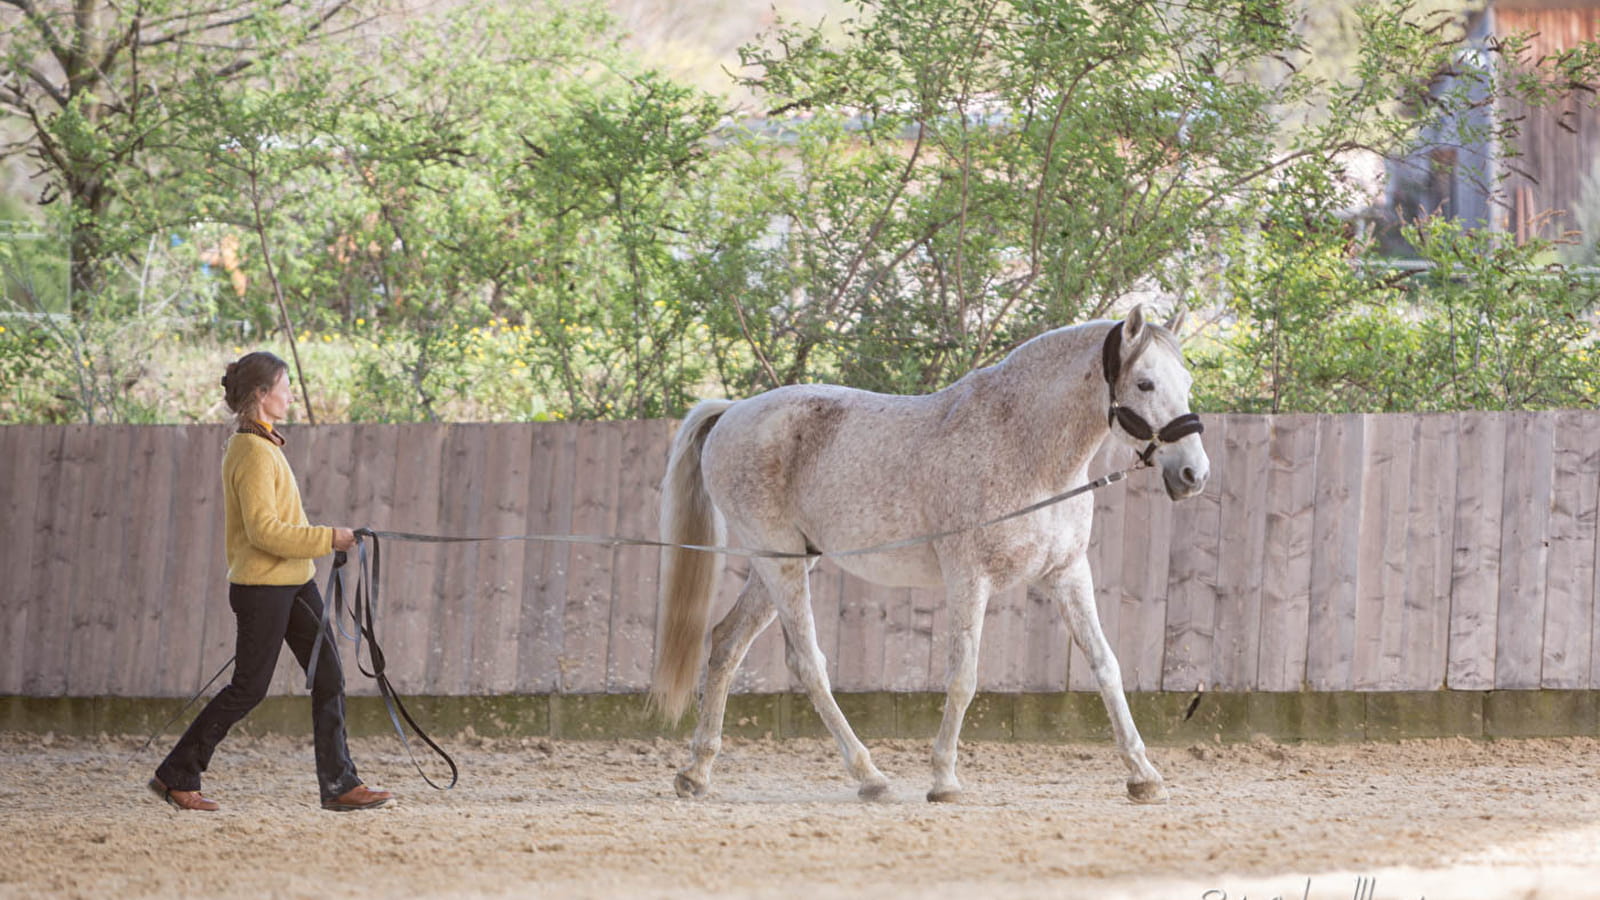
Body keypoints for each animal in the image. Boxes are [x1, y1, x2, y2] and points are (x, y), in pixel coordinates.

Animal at [649, 302, 1209, 797]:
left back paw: (696, 772)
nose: (1193, 474)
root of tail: (733, 411)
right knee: (807, 661)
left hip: (783, 562)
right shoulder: (969, 578)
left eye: (1185, 382)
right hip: (779, 563)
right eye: (1145, 383)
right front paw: (943, 780)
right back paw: (869, 776)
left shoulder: (1068, 573)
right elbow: (963, 676)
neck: (1023, 446)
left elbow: (1105, 665)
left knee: (726, 643)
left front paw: (1144, 776)